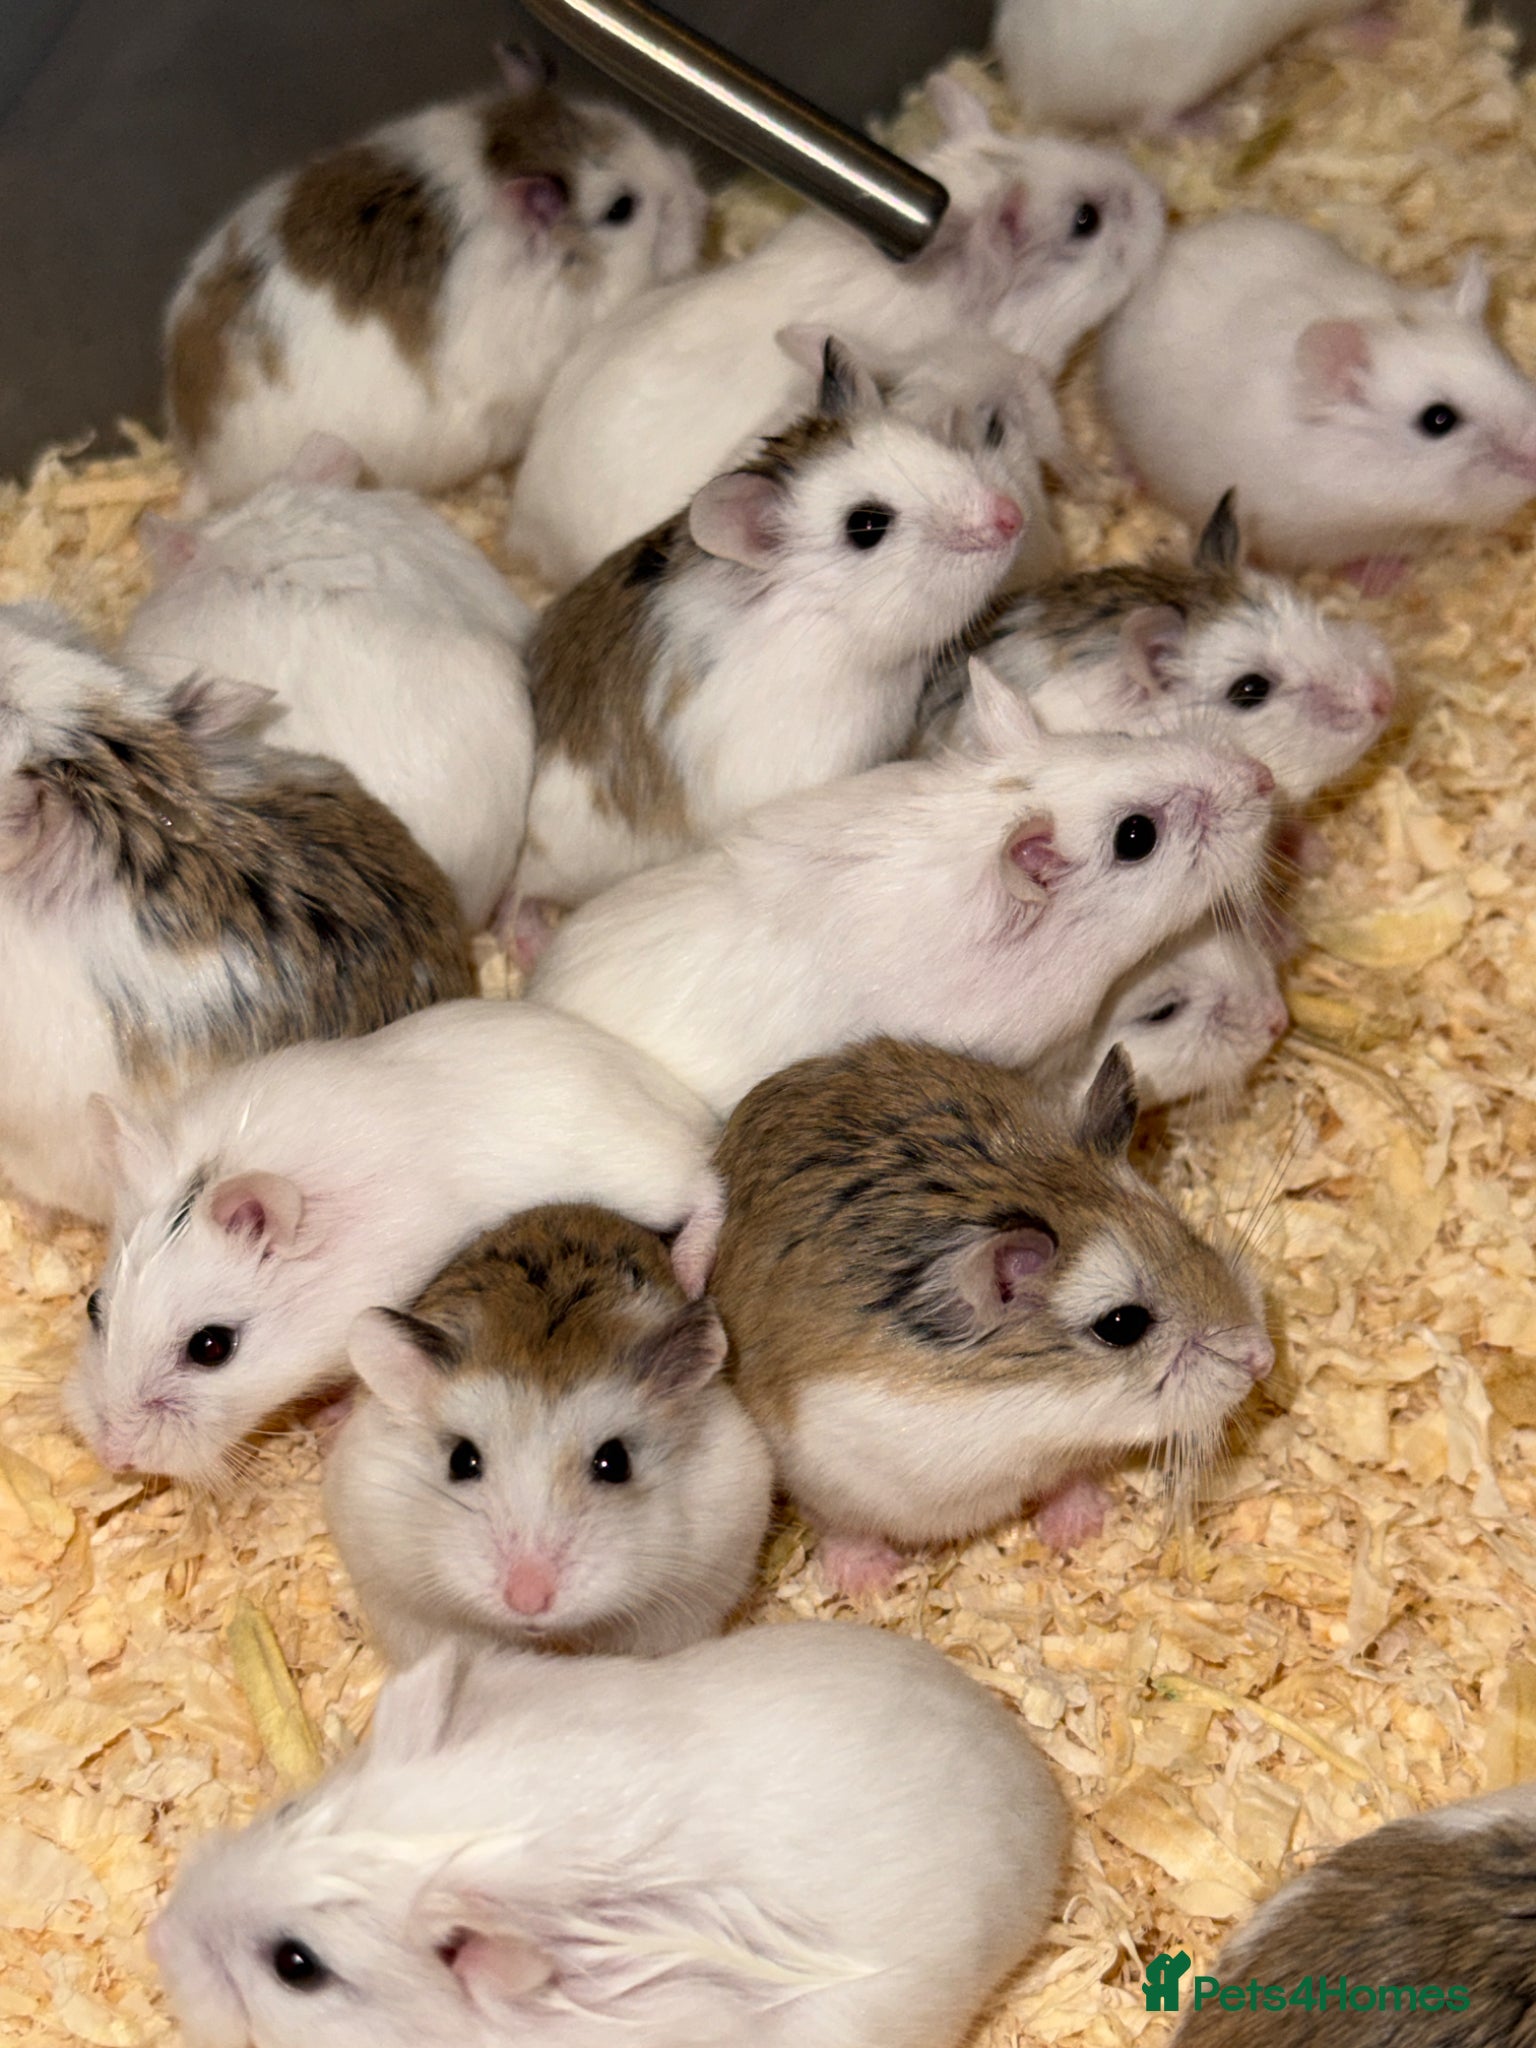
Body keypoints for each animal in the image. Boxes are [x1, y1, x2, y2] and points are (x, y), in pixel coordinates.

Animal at [65, 999, 723, 1486]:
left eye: (211, 1347)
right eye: (93, 1306)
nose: (112, 1455)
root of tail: (675, 1097)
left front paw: (330, 1424)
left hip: (643, 1177)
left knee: (707, 1183)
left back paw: (690, 1269)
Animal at [711, 1040, 1272, 1591]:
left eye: (1187, 1232)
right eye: (1121, 1325)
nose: (1262, 1360)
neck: (1031, 1416)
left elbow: (1067, 1479)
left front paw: (1081, 1528)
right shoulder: (825, 1471)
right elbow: (841, 1525)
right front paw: (873, 1583)